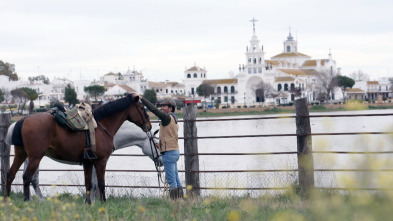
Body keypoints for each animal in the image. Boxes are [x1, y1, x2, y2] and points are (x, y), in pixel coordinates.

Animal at [4, 94, 152, 203]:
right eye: (142, 108)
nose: (149, 126)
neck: (101, 127)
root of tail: (23, 120)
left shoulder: (88, 162)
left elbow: (88, 184)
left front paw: (88, 203)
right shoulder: (101, 161)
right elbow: (101, 183)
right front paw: (103, 203)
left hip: (21, 154)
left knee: (10, 174)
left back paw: (6, 199)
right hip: (35, 157)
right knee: (27, 177)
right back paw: (26, 201)